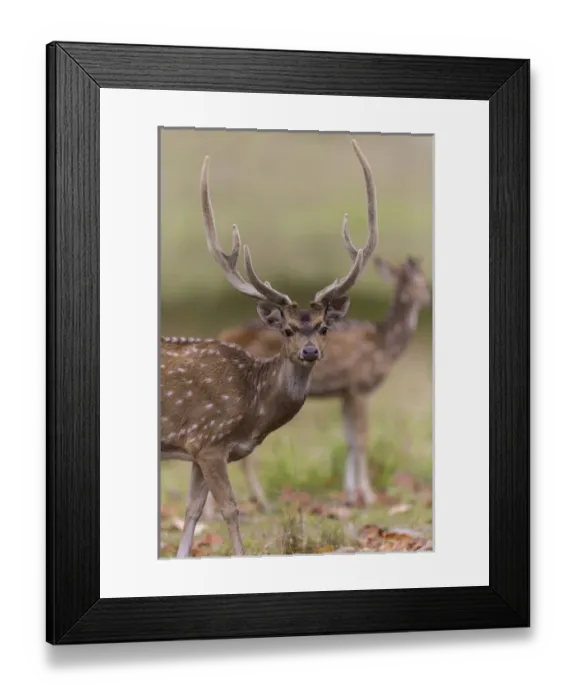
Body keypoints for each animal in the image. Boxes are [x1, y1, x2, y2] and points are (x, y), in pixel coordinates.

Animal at [161, 138, 379, 558]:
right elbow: (230, 509)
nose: (310, 352)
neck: (253, 404)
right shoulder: (209, 440)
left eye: (324, 327)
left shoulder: (198, 449)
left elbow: (193, 511)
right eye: (288, 330)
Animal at [204, 250, 431, 516]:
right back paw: (250, 503)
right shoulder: (359, 386)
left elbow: (350, 439)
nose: (428, 298)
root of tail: (224, 335)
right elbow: (362, 438)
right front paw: (368, 495)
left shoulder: (345, 392)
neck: (383, 346)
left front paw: (351, 495)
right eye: (420, 282)